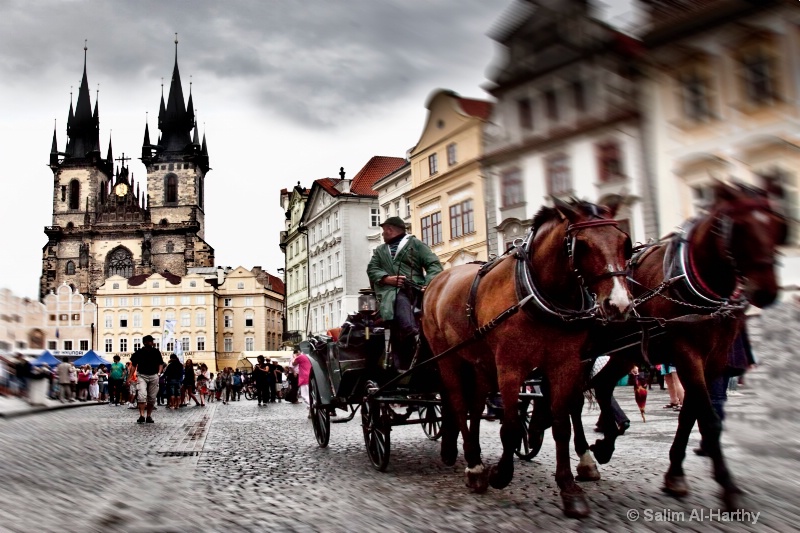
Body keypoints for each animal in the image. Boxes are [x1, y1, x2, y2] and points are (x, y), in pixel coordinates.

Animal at [422, 196, 636, 516]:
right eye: (583, 245)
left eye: (625, 242)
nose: (619, 305)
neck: (537, 294)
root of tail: (437, 281)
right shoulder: (510, 367)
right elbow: (510, 426)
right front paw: (501, 474)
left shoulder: (564, 364)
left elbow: (562, 424)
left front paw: (569, 488)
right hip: (447, 358)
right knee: (459, 404)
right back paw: (474, 467)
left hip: (479, 362)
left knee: (474, 405)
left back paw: (469, 455)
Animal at [576, 180, 788, 512]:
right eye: (739, 227)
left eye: (778, 225)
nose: (766, 292)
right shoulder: (687, 354)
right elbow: (709, 420)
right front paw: (728, 486)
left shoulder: (713, 360)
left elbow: (692, 415)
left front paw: (675, 473)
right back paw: (589, 453)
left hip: (626, 352)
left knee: (602, 385)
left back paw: (606, 442)